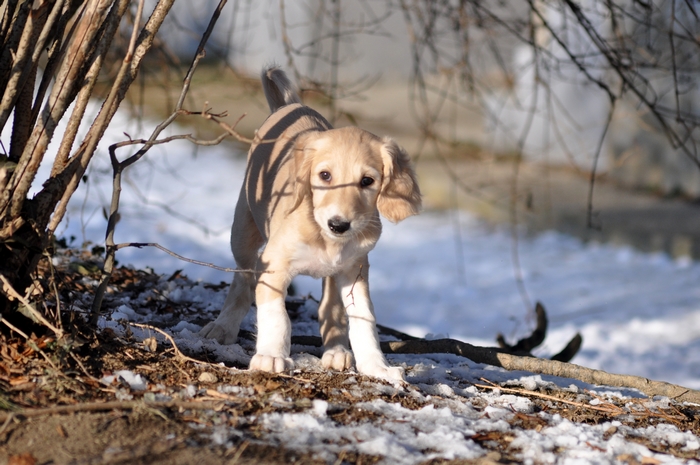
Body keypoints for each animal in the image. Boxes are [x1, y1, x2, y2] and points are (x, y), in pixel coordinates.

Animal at [200, 66, 424, 380]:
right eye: (325, 176)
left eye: (367, 181)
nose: (339, 225)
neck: (324, 238)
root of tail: (290, 105)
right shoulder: (274, 265)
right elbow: (277, 316)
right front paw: (271, 356)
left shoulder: (356, 270)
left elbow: (363, 319)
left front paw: (376, 366)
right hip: (242, 232)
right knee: (242, 281)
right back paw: (223, 327)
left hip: (337, 274)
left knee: (331, 309)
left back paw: (337, 351)